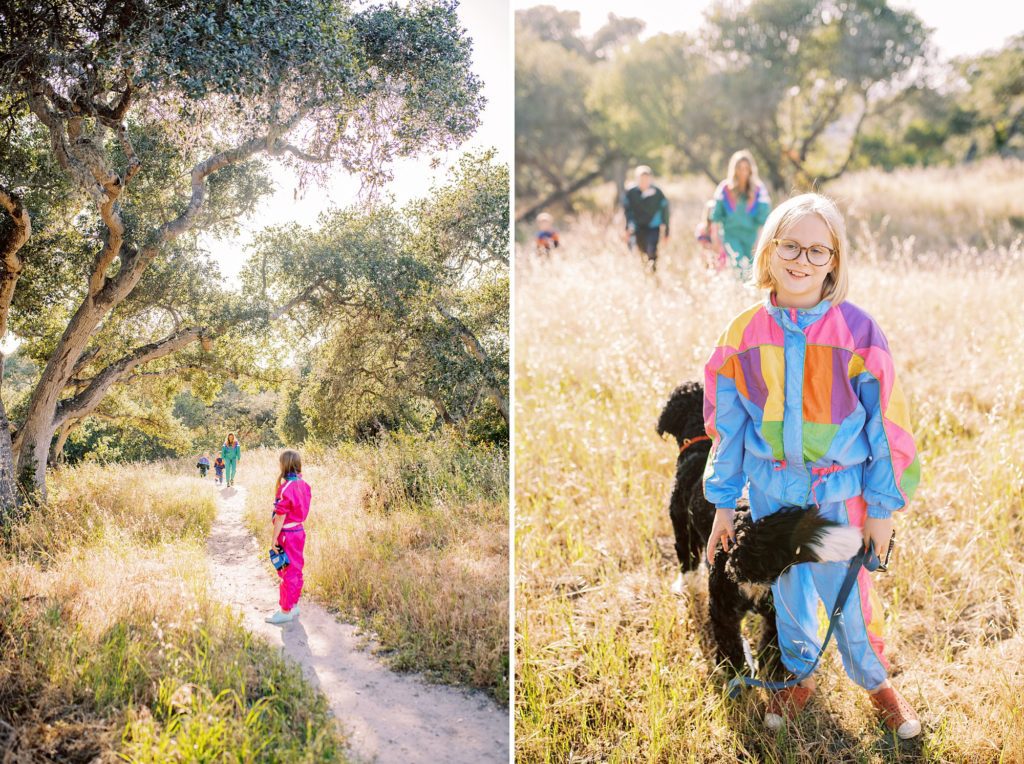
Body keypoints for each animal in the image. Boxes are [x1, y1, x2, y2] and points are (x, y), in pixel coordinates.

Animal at [655, 380, 864, 671]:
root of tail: (750, 538)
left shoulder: (681, 526)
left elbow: (687, 563)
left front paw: (683, 586)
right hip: (778, 609)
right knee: (775, 643)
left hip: (723, 604)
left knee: (730, 642)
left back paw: (733, 670)